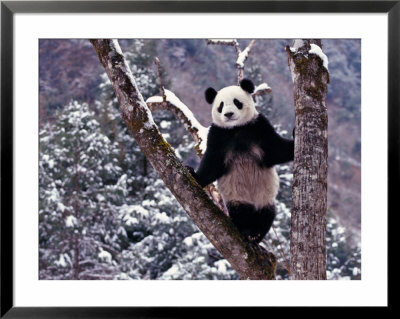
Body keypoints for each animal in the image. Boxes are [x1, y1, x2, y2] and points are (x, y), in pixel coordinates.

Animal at [188, 79, 294, 244]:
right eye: (221, 106)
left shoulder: (258, 127)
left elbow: (277, 149)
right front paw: (193, 174)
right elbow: (212, 164)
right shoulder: (218, 135)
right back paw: (247, 230)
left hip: (265, 197)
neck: (236, 129)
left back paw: (256, 234)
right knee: (241, 212)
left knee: (267, 214)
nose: (228, 114)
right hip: (236, 196)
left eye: (236, 102)